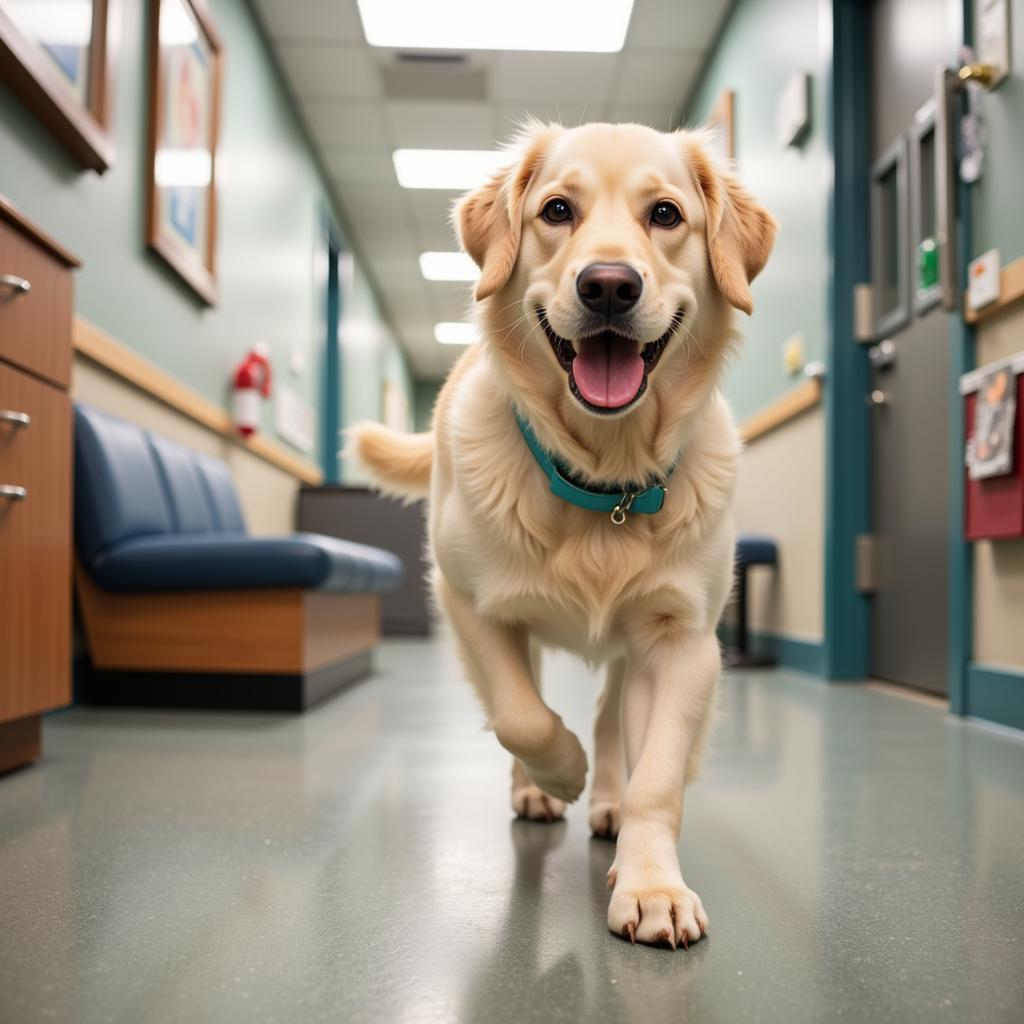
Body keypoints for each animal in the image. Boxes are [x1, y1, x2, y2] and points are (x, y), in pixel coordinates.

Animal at [352, 121, 774, 950]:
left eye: (666, 215)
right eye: (556, 210)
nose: (608, 285)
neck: (604, 480)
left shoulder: (684, 640)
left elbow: (658, 776)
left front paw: (651, 885)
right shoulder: (467, 602)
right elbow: (520, 715)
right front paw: (561, 773)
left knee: (613, 716)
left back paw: (606, 800)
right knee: (526, 700)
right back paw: (545, 789)